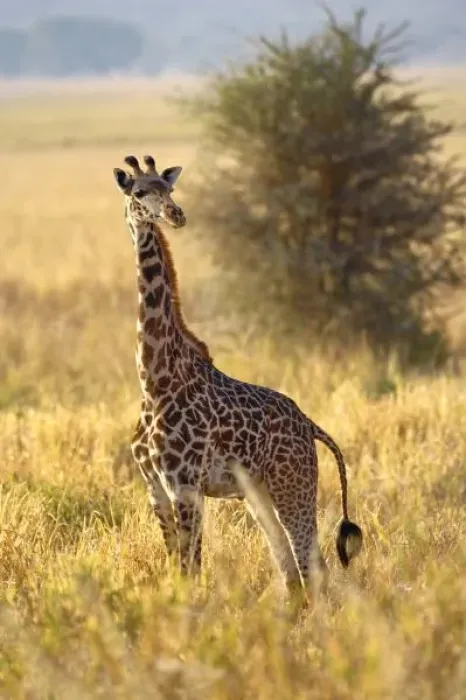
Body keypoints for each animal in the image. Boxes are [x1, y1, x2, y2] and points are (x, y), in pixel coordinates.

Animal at [113, 154, 363, 598]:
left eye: (169, 188)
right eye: (139, 191)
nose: (176, 214)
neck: (154, 378)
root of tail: (311, 424)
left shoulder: (185, 483)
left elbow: (192, 569)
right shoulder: (155, 486)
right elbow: (175, 565)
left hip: (292, 483)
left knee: (312, 566)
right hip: (257, 493)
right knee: (289, 568)